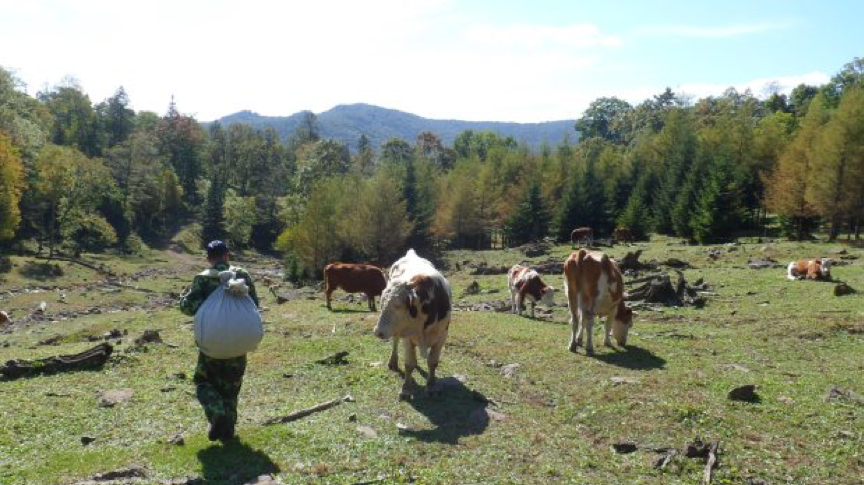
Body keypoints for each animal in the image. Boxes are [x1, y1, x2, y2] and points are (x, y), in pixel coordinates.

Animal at [372, 248, 452, 398]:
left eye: (398, 306)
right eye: (382, 303)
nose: (378, 332)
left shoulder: (442, 336)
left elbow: (432, 362)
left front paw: (431, 386)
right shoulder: (407, 337)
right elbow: (409, 364)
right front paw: (406, 388)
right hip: (398, 332)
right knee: (395, 342)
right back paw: (393, 362)